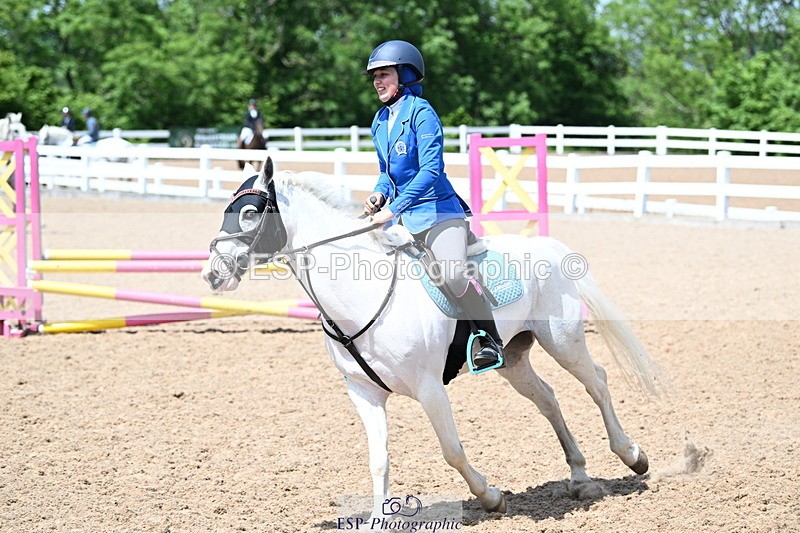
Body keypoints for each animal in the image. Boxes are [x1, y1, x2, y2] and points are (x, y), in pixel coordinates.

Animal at [201, 157, 664, 521]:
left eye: (250, 213)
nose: (213, 274)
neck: (360, 295)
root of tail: (549, 247)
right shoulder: (364, 392)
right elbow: (378, 459)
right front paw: (377, 519)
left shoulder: (429, 389)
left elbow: (452, 450)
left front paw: (491, 497)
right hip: (514, 359)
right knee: (548, 400)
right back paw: (580, 477)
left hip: (563, 342)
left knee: (597, 383)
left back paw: (632, 456)